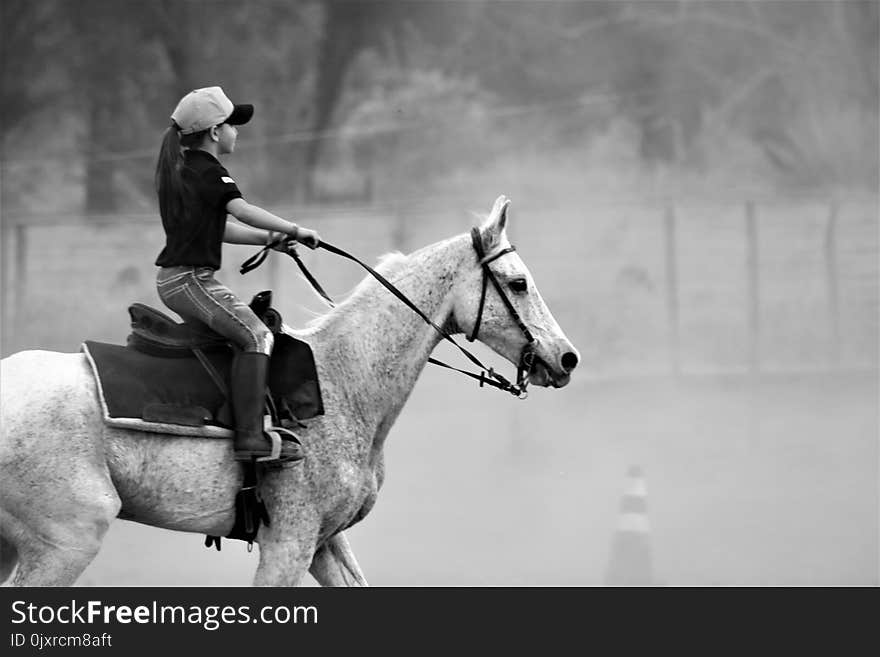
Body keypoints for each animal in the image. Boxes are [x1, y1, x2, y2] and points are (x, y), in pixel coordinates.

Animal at [1, 195, 576, 584]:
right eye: (519, 283)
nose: (566, 357)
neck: (345, 382)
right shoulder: (288, 544)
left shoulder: (326, 542)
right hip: (68, 540)